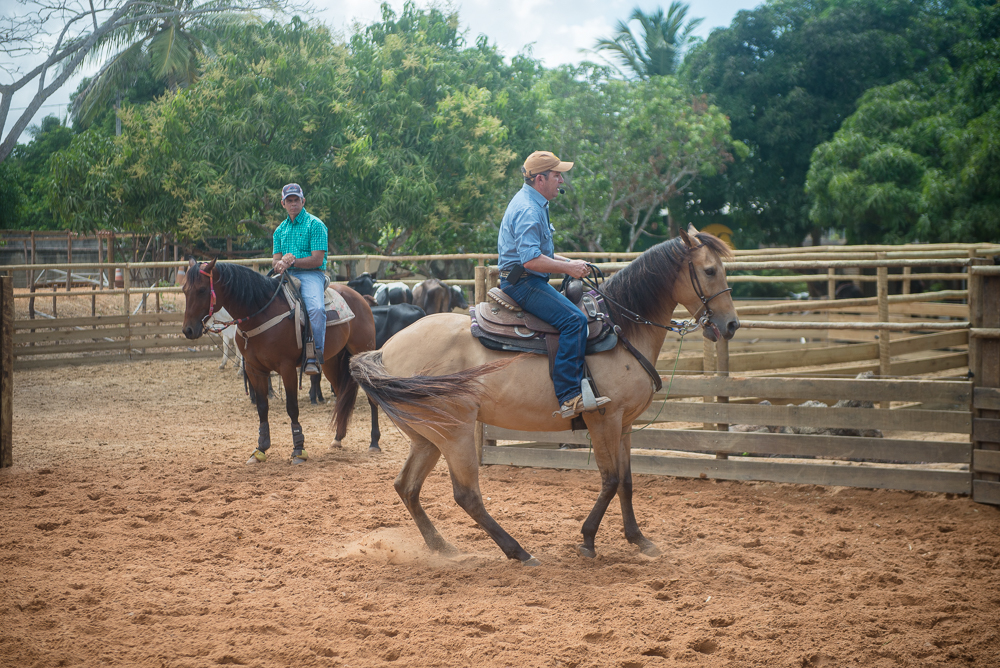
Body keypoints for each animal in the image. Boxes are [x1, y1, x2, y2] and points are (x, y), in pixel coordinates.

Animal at [180, 258, 382, 462]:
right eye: (184, 290)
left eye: (202, 290)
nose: (188, 330)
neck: (261, 313)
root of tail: (361, 299)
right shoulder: (254, 369)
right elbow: (262, 407)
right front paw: (260, 448)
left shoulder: (287, 368)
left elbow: (292, 407)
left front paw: (299, 449)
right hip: (332, 362)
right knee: (341, 395)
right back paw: (338, 438)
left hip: (362, 353)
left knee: (372, 397)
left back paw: (374, 442)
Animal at [348, 227, 740, 568]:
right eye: (709, 270)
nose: (732, 325)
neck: (621, 329)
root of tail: (385, 351)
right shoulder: (604, 419)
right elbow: (610, 479)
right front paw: (588, 540)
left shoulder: (625, 425)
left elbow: (627, 482)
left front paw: (639, 540)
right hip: (454, 432)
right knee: (466, 495)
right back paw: (518, 552)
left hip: (427, 438)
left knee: (407, 486)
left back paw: (442, 547)